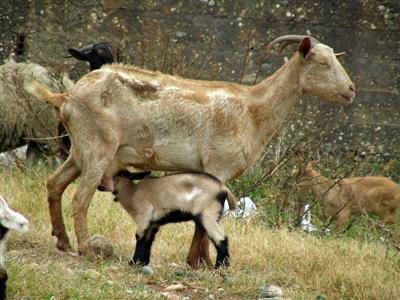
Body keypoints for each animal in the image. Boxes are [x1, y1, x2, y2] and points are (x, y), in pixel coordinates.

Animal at [26, 34, 354, 268]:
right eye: (321, 63)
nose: (351, 90)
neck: (253, 109)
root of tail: (66, 96)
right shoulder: (217, 167)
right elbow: (206, 219)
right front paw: (202, 262)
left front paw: (198, 261)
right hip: (98, 148)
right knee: (80, 198)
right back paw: (87, 250)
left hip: (79, 149)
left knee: (54, 184)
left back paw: (63, 242)